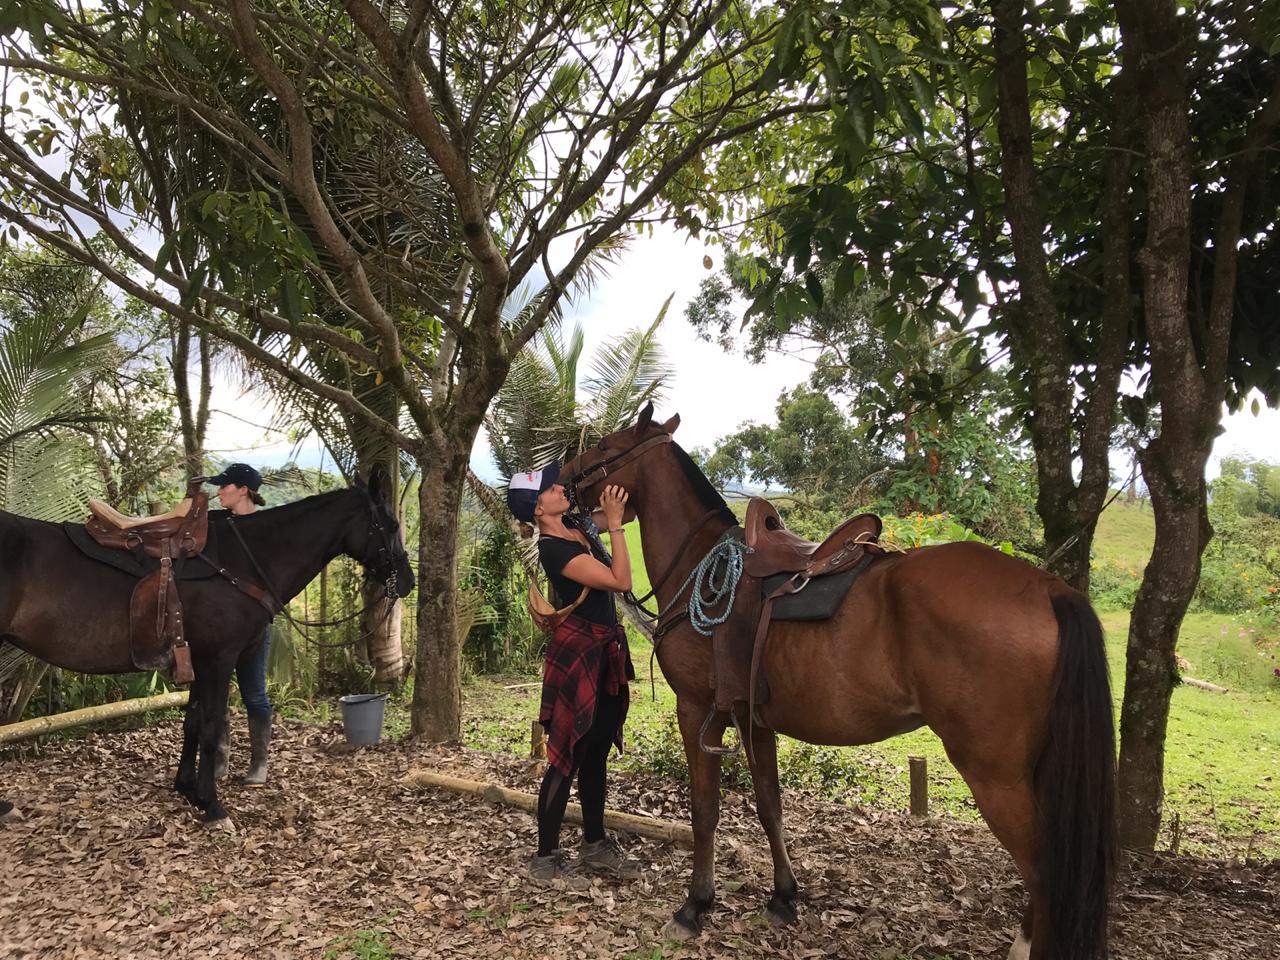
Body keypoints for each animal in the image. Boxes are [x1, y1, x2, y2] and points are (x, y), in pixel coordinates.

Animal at [0, 467, 414, 822]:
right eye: (392, 525)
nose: (408, 581)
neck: (244, 559)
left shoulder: (198, 656)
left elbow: (194, 723)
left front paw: (187, 789)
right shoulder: (219, 658)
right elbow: (213, 726)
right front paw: (212, 805)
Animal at [561, 404, 1117, 960]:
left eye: (605, 448)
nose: (562, 478)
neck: (701, 562)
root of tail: (1049, 589)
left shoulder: (699, 711)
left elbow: (705, 812)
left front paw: (695, 906)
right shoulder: (753, 719)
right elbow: (770, 806)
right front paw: (783, 897)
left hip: (995, 775)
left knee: (1044, 872)